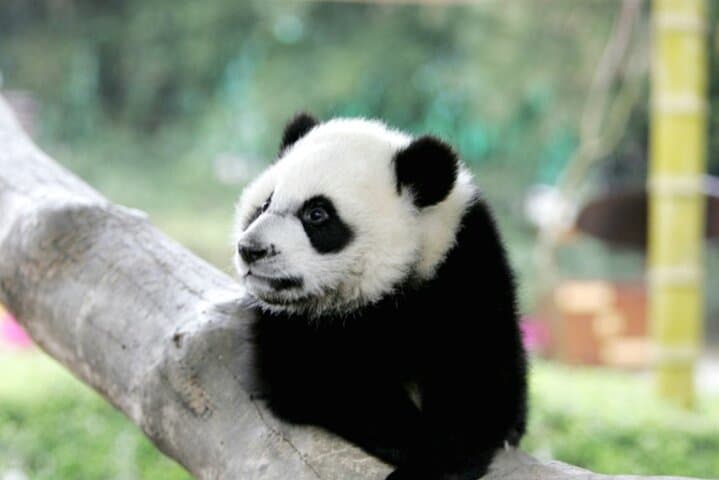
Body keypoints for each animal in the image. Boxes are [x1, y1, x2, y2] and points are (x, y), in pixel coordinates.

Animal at [233, 113, 527, 480]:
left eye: (317, 214)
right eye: (264, 204)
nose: (250, 250)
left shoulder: (462, 269)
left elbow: (478, 380)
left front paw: (435, 462)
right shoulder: (290, 323)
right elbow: (320, 381)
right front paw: (406, 436)